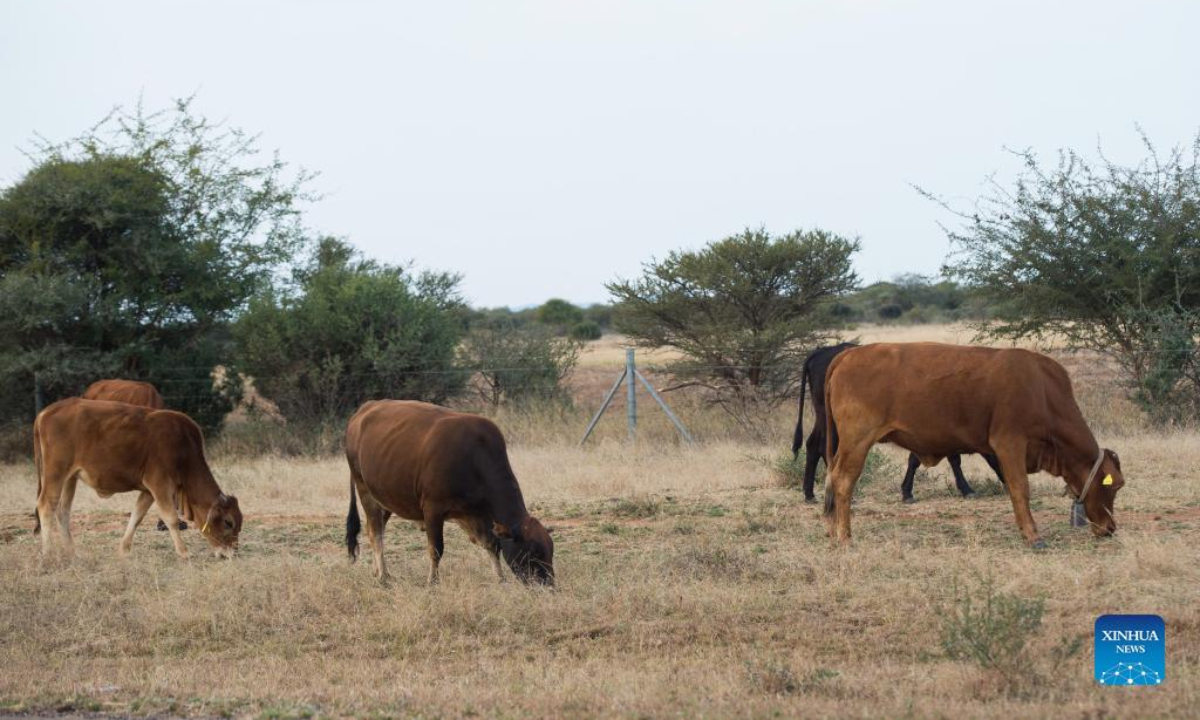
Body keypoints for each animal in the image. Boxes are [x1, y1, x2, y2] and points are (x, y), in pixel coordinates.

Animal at [33, 398, 241, 561]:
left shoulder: (148, 490)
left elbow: (137, 517)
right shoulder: (159, 484)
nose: (231, 553)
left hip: (70, 478)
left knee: (63, 511)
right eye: (228, 522)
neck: (183, 447)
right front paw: (184, 552)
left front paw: (124, 549)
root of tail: (46, 412)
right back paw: (49, 553)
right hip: (55, 473)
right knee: (46, 506)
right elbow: (171, 518)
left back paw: (72, 551)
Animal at [345, 400, 554, 586]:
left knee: (376, 529)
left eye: (550, 552)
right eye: (532, 553)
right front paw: (432, 581)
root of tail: (364, 409)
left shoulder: (477, 514)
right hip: (364, 490)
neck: (474, 458)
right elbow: (436, 549)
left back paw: (378, 570)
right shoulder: (433, 510)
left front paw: (501, 580)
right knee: (376, 534)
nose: (548, 585)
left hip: (384, 497)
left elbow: (491, 544)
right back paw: (383, 576)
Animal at [791, 343, 1005, 503]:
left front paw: (907, 491)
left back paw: (809, 494)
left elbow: (915, 460)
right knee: (825, 449)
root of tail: (823, 351)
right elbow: (952, 459)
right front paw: (966, 489)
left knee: (813, 445)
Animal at [822, 343, 1125, 547]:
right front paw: (1032, 535)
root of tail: (849, 354)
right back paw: (845, 537)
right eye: (1113, 485)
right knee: (843, 482)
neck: (1041, 389)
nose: (1110, 528)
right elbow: (1020, 489)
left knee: (832, 478)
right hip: (857, 441)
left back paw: (833, 530)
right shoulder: (1010, 444)